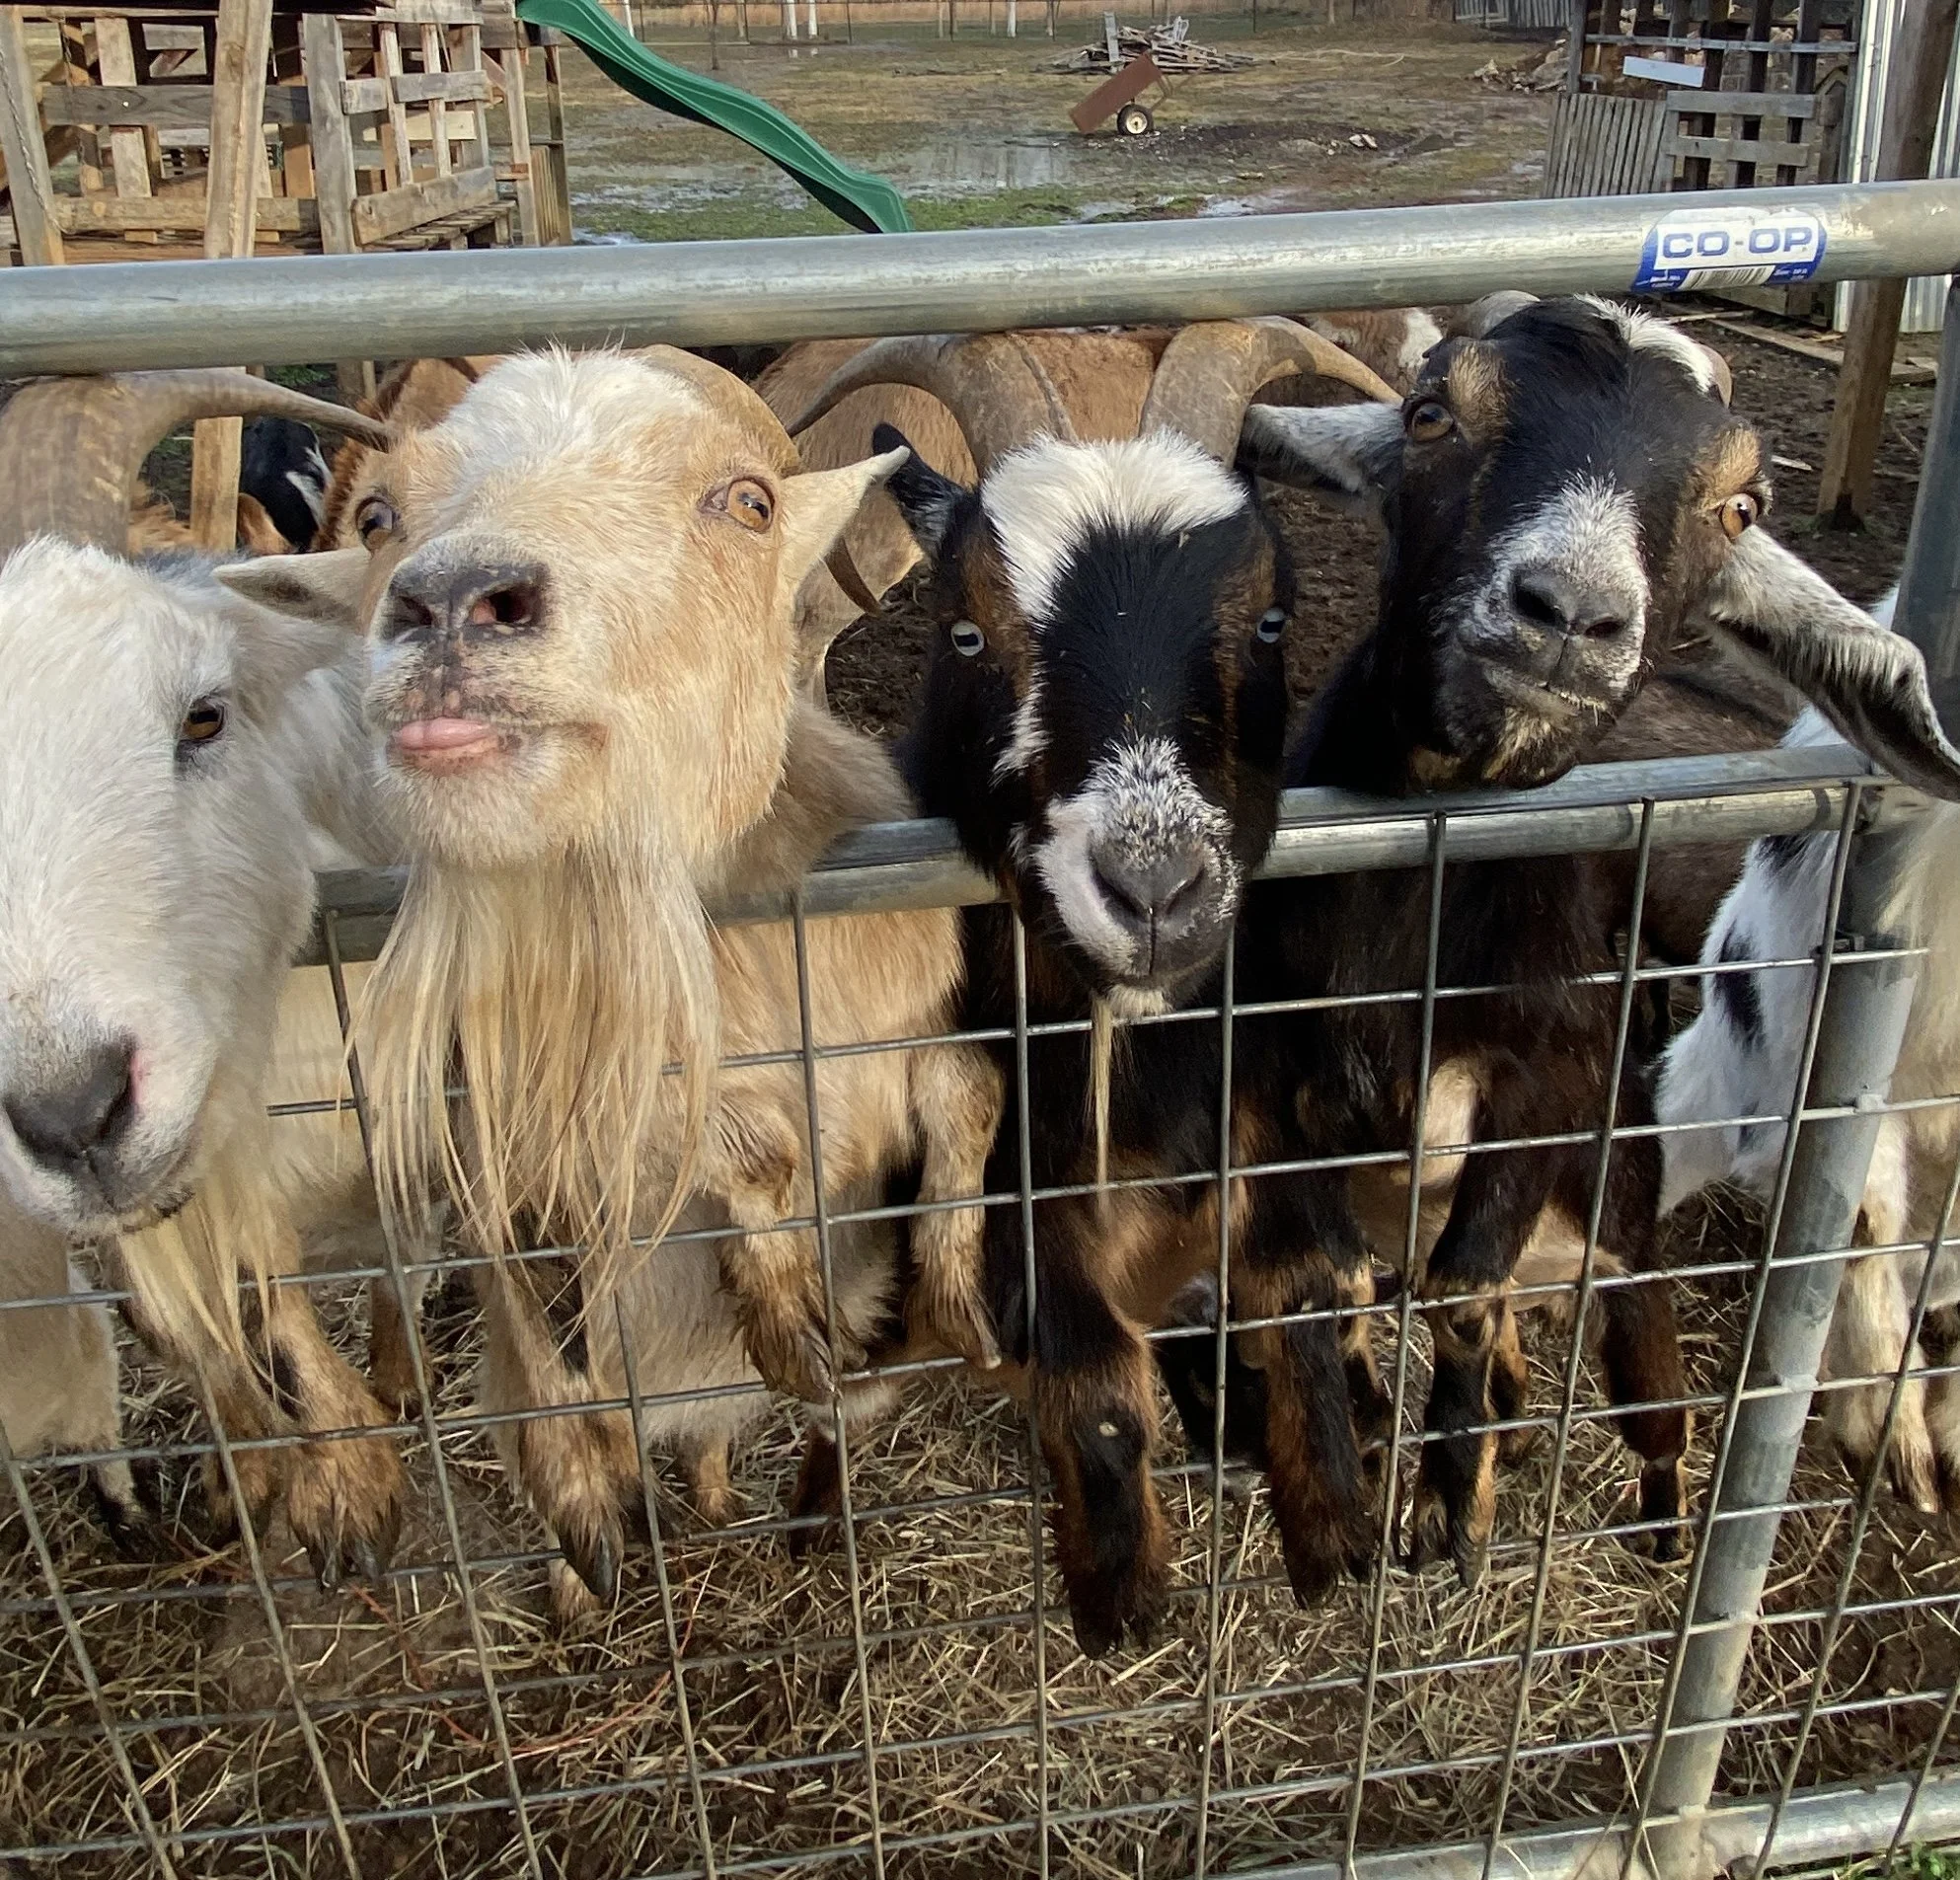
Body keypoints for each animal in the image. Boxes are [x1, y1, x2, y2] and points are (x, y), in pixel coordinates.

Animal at [238, 348, 1006, 1605]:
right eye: (378, 515)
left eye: (748, 501)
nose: (453, 603)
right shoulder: (535, 1114)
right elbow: (733, 1151)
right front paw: (782, 1312)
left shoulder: (917, 1007)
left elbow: (965, 1088)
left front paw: (956, 1304)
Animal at [788, 319, 1402, 1653]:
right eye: (966, 633)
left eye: (1271, 620)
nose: (1155, 892)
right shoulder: (994, 1174)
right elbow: (1094, 1377)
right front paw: (1122, 1587)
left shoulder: (1260, 1102)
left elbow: (1312, 1278)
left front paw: (1334, 1517)